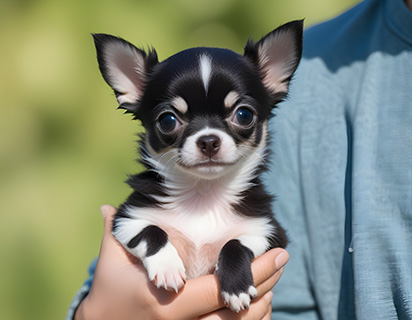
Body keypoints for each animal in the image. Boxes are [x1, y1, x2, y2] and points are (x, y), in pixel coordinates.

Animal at [92, 20, 302, 312]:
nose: (209, 140)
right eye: (168, 120)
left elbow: (234, 243)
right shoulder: (127, 220)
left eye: (244, 115)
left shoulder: (270, 232)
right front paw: (167, 267)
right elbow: (153, 232)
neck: (204, 193)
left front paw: (236, 286)